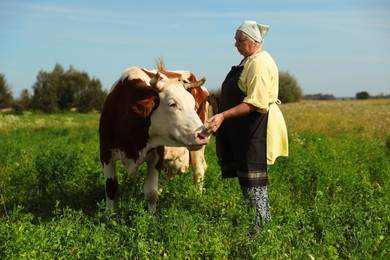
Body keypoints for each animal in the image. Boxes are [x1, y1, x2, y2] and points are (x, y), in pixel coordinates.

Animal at [100, 67, 210, 211]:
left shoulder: (157, 155)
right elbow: (110, 188)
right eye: (172, 104)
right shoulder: (105, 152)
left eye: (193, 105)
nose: (203, 134)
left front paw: (151, 216)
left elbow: (151, 192)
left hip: (198, 149)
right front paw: (108, 215)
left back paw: (198, 198)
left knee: (199, 171)